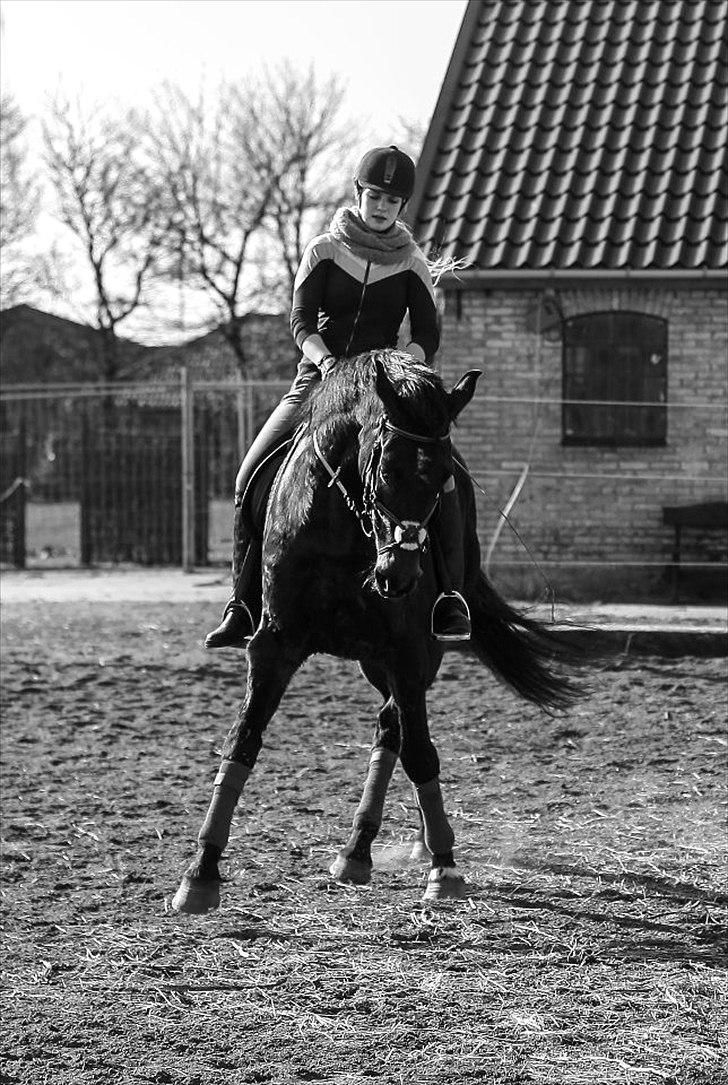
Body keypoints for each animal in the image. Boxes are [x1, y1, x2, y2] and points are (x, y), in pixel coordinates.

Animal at [172, 351, 581, 911]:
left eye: (443, 478)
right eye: (385, 464)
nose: (398, 576)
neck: (344, 528)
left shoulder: (408, 651)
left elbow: (421, 752)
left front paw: (444, 866)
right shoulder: (274, 645)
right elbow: (243, 741)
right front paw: (201, 873)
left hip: (411, 654)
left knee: (395, 730)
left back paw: (378, 846)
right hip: (371, 659)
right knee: (390, 726)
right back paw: (359, 850)